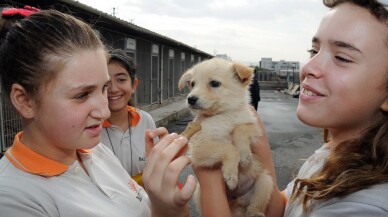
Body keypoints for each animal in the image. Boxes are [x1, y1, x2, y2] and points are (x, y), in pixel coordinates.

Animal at [178, 57, 272, 217]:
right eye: (192, 84)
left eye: (214, 83)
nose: (190, 99)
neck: (223, 115)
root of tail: (238, 202)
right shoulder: (200, 148)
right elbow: (229, 149)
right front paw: (231, 175)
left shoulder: (253, 126)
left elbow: (240, 130)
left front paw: (245, 155)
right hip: (199, 192)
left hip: (265, 181)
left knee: (255, 205)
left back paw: (255, 213)